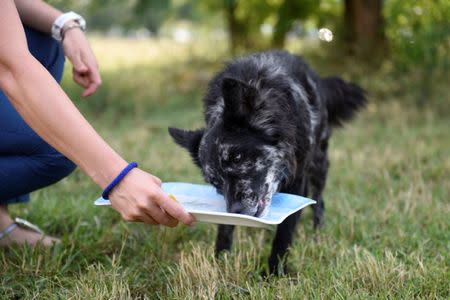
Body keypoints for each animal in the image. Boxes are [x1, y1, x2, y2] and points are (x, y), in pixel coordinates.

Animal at [169, 51, 366, 274]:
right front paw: (221, 261)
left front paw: (274, 271)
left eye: (237, 157)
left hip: (319, 165)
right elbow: (225, 228)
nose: (237, 211)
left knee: (319, 201)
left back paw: (318, 233)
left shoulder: (298, 180)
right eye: (215, 182)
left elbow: (285, 231)